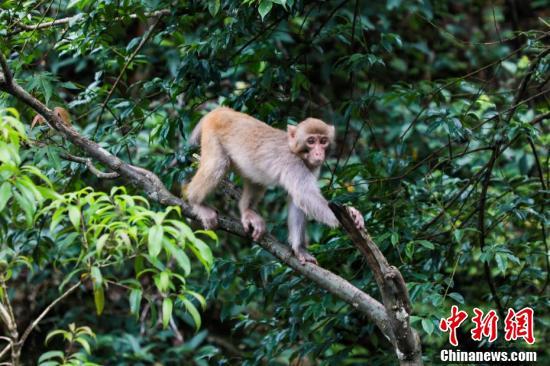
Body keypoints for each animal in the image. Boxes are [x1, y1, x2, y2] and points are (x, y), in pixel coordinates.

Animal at [187, 107, 366, 264]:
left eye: (323, 141)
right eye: (311, 141)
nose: (318, 153)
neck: (295, 151)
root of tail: (221, 110)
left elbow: (297, 200)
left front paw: (299, 249)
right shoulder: (292, 163)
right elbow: (305, 194)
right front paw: (347, 216)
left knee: (256, 179)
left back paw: (247, 211)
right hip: (212, 136)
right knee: (218, 165)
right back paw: (194, 201)